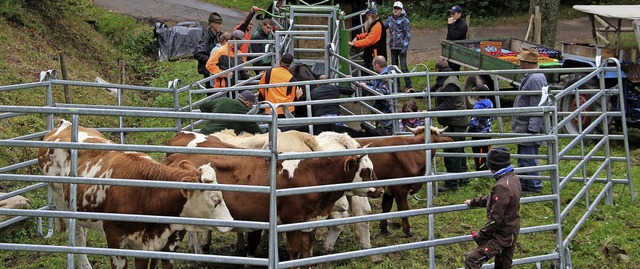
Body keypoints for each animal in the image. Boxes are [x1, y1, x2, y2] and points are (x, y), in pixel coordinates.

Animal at [37, 120, 232, 268]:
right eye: (215, 199)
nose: (230, 222)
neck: (146, 194)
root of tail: (64, 125)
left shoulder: (163, 246)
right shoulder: (115, 240)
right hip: (61, 201)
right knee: (78, 236)